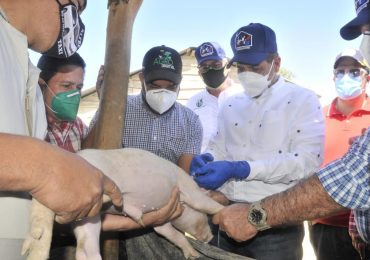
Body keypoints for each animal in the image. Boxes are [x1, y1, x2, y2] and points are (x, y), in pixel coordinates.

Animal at [24, 148, 225, 260]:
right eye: (205, 219)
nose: (209, 238)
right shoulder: (187, 188)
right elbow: (207, 204)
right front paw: (224, 212)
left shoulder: (163, 220)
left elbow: (170, 233)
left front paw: (193, 256)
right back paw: (132, 210)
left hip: (86, 218)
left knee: (84, 250)